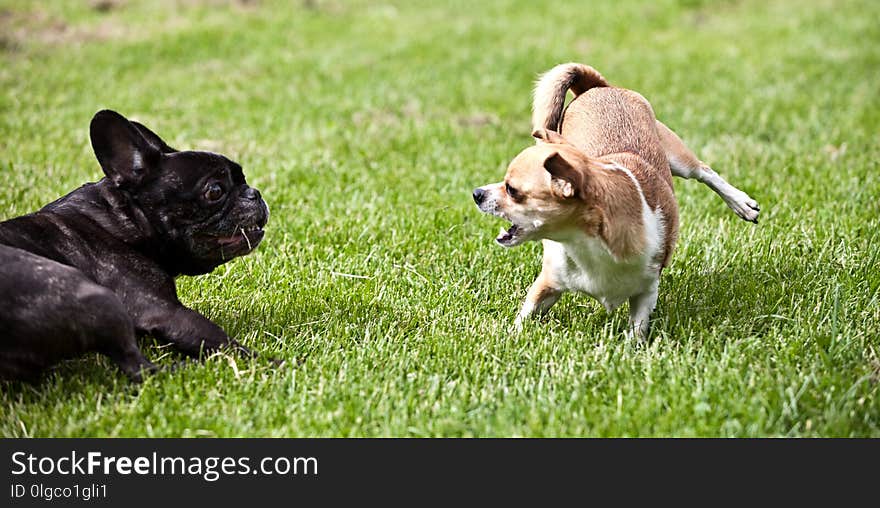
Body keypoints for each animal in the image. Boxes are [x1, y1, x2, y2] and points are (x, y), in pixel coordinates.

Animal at [0, 110, 268, 380]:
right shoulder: (163, 310)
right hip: (101, 299)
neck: (122, 217)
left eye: (243, 179)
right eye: (215, 191)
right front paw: (271, 363)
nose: (254, 193)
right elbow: (228, 343)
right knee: (138, 367)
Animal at [470, 62, 760, 338]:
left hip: (677, 157)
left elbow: (637, 330)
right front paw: (510, 337)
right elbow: (525, 315)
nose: (476, 193)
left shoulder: (646, 291)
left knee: (704, 171)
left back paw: (742, 204)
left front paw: (632, 350)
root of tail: (597, 87)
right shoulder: (548, 283)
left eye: (511, 190)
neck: (584, 242)